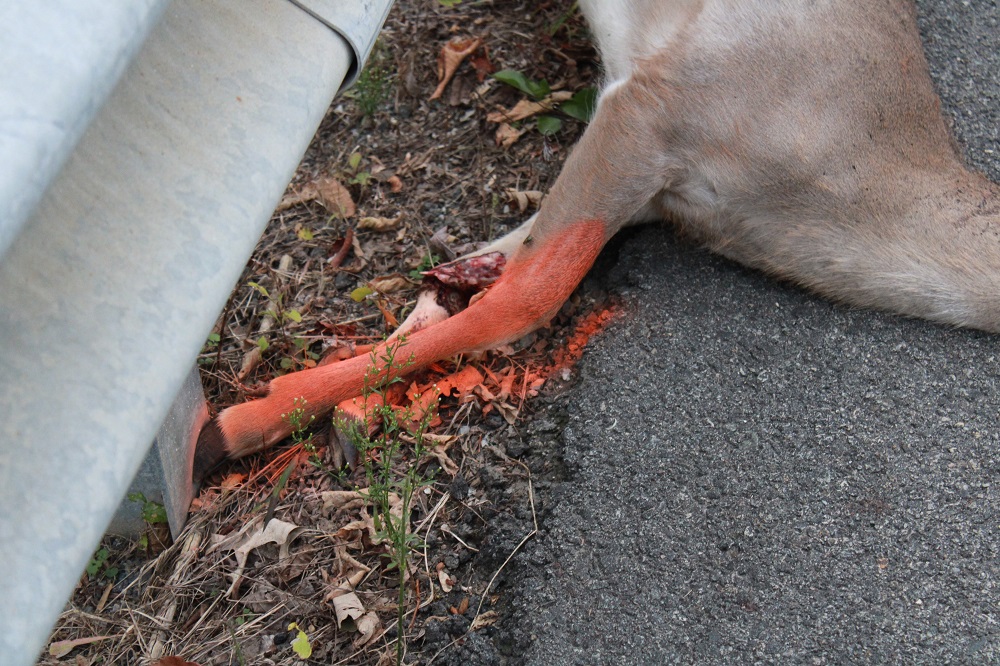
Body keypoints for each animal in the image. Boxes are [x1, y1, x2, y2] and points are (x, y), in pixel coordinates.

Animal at [191, 1, 996, 478]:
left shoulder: (657, 194)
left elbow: (485, 273)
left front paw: (346, 411)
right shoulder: (655, 107)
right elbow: (527, 299)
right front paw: (236, 425)